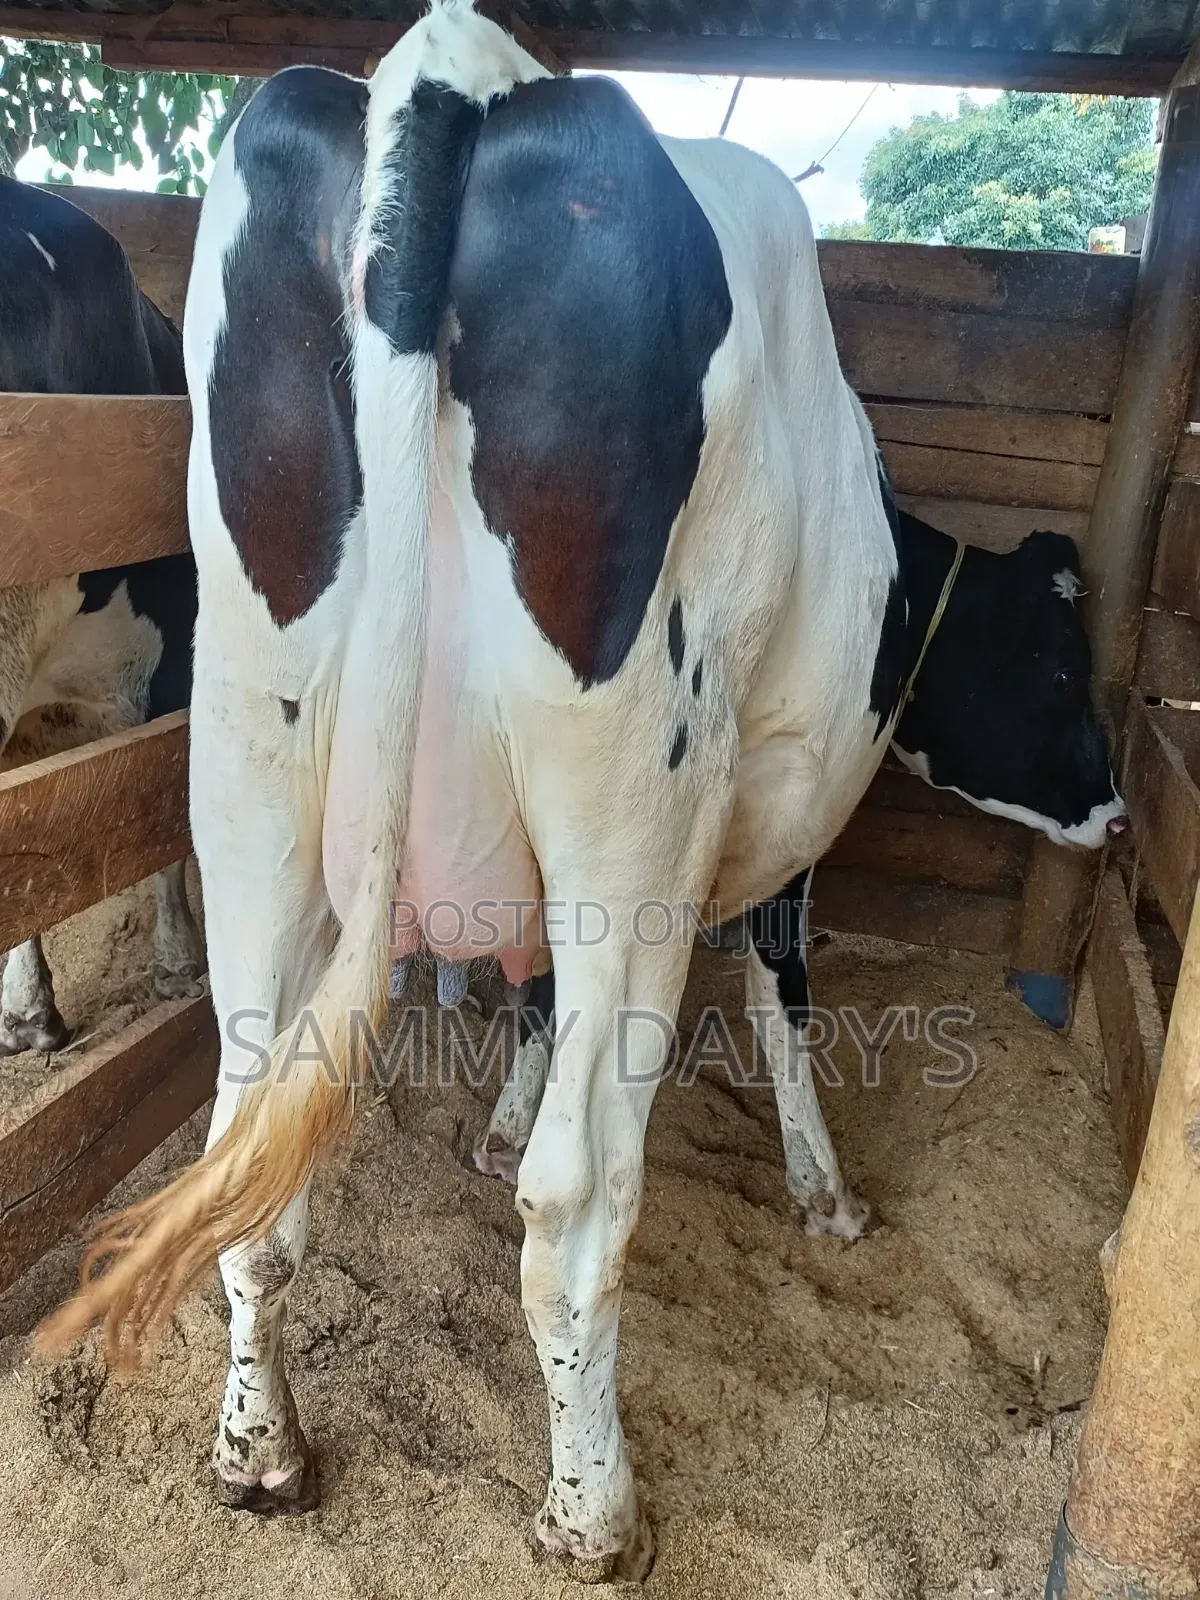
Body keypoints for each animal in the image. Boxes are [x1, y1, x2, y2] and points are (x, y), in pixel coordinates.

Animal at [41, 7, 1123, 1580]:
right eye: (1053, 670)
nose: (1118, 810)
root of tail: (459, 79)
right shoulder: (772, 839)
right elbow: (782, 1005)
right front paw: (826, 1193)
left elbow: (529, 1008)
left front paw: (493, 1111)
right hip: (637, 817)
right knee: (579, 1203)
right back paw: (593, 1512)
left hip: (247, 759)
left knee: (245, 1151)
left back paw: (259, 1451)